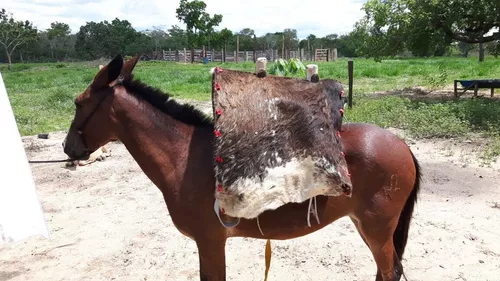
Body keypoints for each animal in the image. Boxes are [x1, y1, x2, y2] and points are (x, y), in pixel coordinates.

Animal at [62, 53, 422, 278]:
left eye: (79, 103)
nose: (68, 147)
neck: (182, 157)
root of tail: (402, 145)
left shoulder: (210, 242)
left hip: (377, 228)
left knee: (389, 272)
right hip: (369, 226)